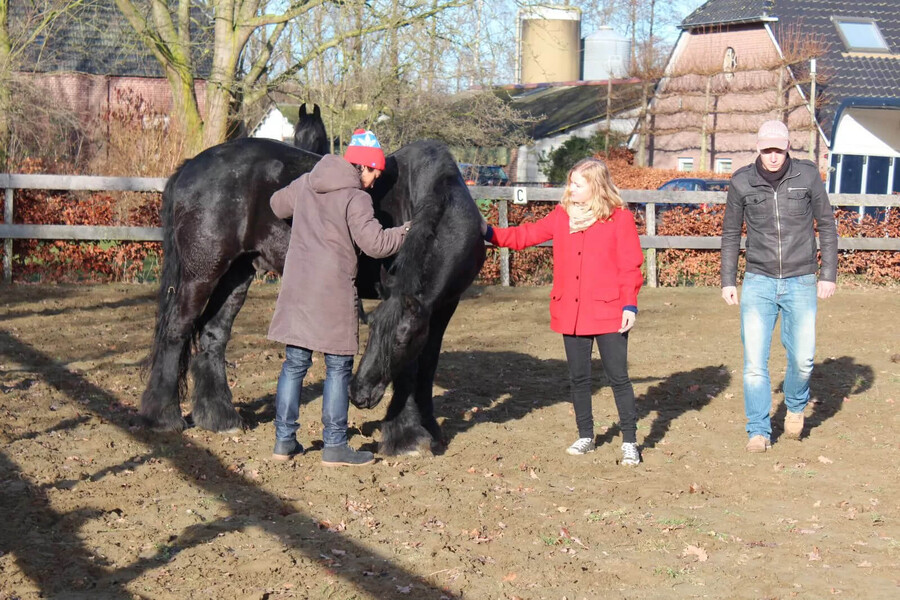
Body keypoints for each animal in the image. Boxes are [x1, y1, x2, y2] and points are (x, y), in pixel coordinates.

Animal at [141, 108, 486, 454]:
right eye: (373, 330)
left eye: (398, 339)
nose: (358, 394)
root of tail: (189, 167)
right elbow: (412, 368)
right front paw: (407, 436)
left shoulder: (443, 306)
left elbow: (427, 363)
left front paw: (428, 428)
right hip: (202, 273)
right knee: (176, 330)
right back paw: (163, 417)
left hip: (236, 274)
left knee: (213, 335)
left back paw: (220, 418)